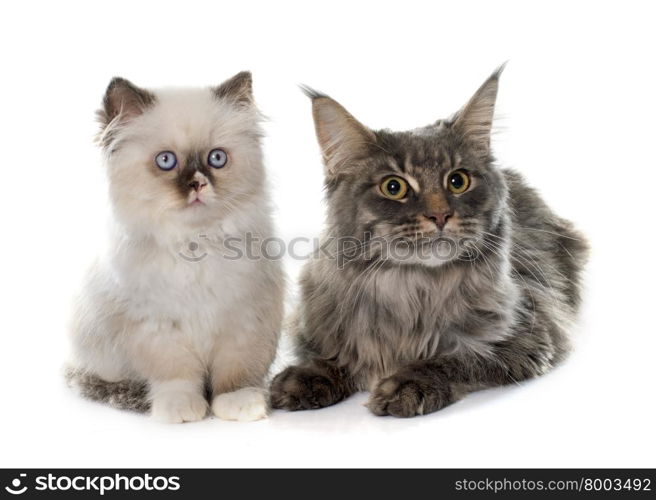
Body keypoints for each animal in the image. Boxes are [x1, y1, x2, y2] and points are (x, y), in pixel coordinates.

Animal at [65, 71, 284, 422]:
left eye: (216, 158)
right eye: (166, 161)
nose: (197, 184)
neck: (194, 245)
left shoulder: (244, 321)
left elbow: (235, 375)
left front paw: (238, 405)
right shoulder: (158, 330)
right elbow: (177, 377)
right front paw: (181, 410)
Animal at [270, 66, 588, 418]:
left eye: (458, 181)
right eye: (393, 187)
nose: (440, 215)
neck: (412, 288)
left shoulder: (527, 335)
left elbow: (456, 358)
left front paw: (407, 384)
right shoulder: (311, 327)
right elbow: (331, 356)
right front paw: (308, 376)